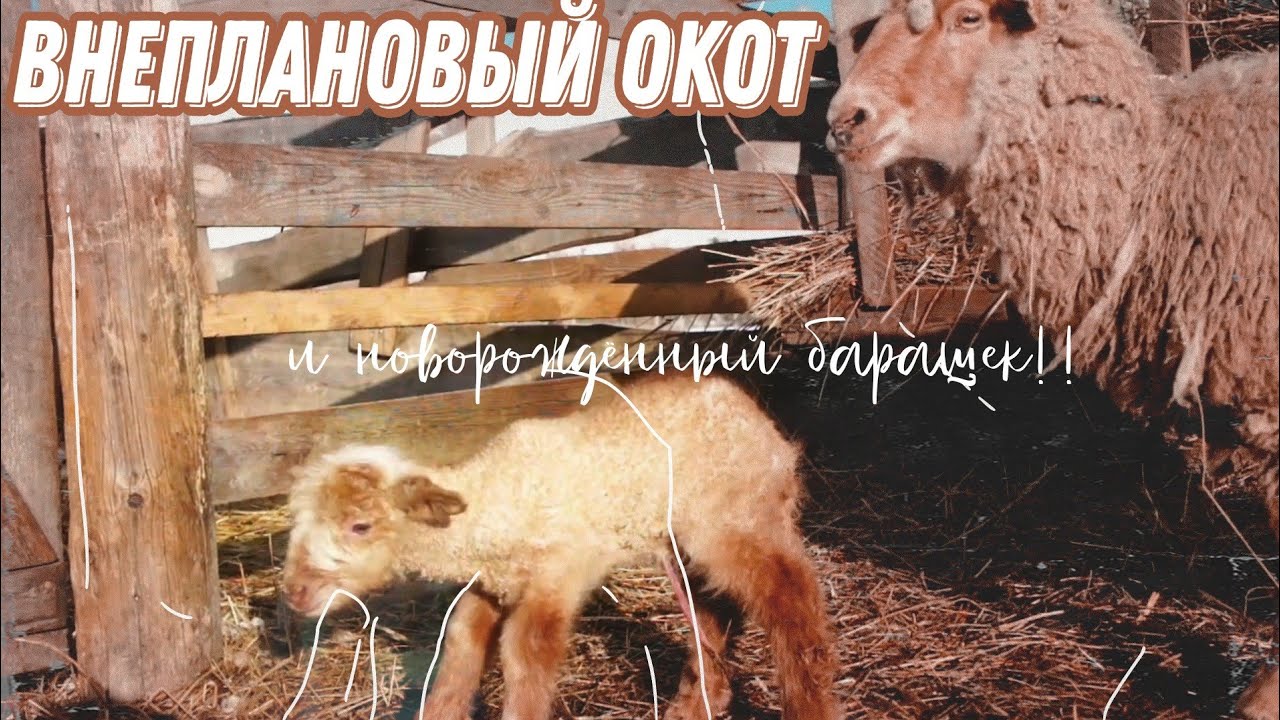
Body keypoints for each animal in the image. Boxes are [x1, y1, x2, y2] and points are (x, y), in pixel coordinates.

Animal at [280, 372, 842, 720]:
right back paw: (697, 703)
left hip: (735, 515)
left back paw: (807, 703)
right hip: (681, 538)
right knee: (710, 610)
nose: (295, 592)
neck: (494, 500)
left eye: (360, 526)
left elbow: (526, 654)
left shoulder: (560, 569)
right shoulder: (491, 584)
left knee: (792, 595)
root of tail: (755, 415)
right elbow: (460, 646)